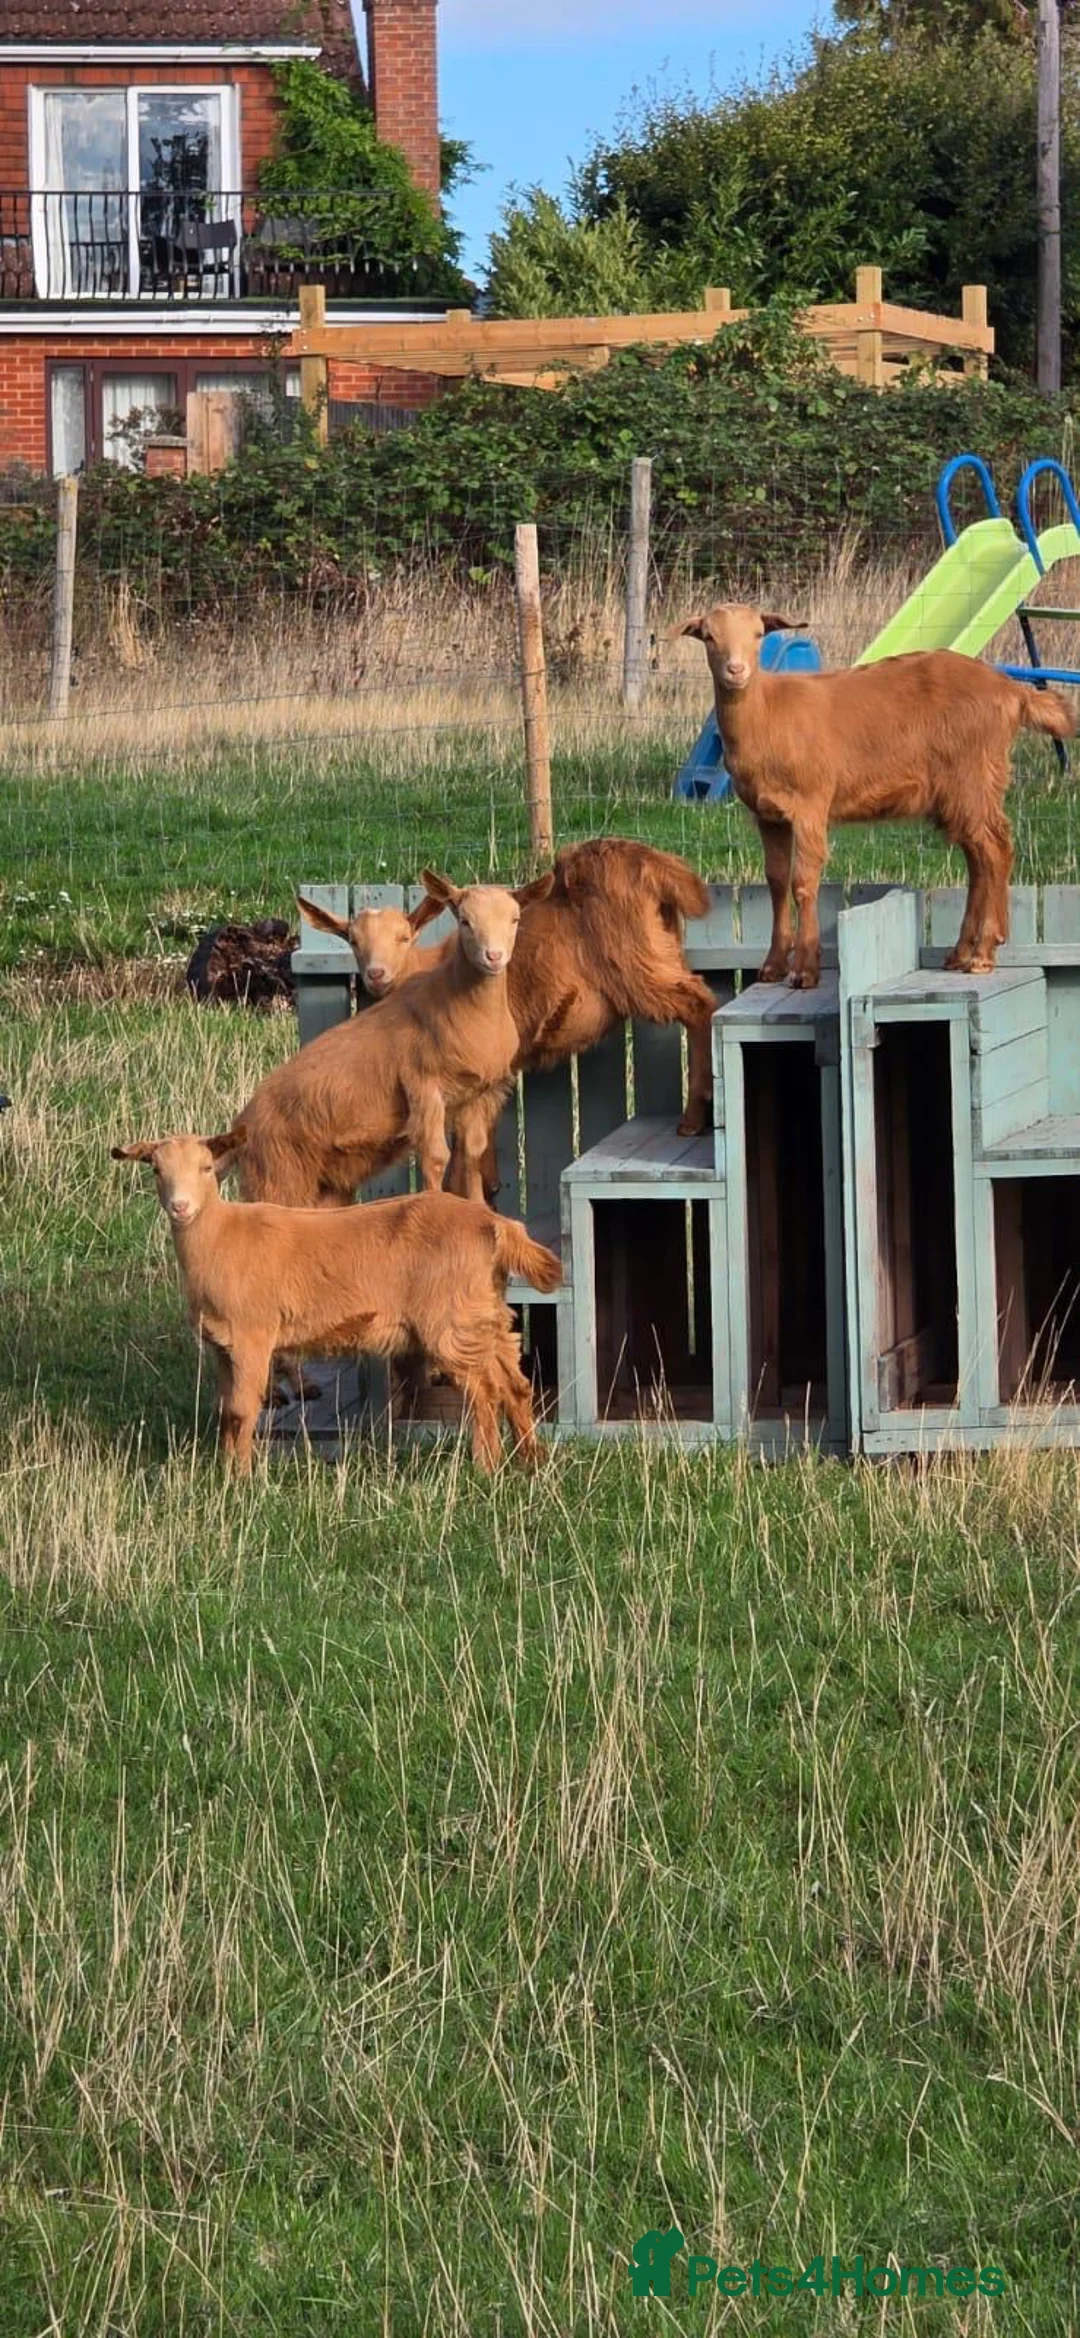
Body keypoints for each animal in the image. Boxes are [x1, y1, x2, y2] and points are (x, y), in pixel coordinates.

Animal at [112, 1131, 561, 1475]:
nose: (180, 1207)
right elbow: (227, 1411)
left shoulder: (253, 1334)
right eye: (156, 1170)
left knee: (484, 1391)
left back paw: (486, 1467)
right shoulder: (221, 1344)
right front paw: (225, 1468)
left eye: (207, 1168)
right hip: (482, 1312)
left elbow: (242, 1409)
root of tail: (494, 1224)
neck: (221, 1236)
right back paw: (532, 1461)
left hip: (449, 1320)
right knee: (515, 1383)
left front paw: (239, 1479)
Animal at [237, 870, 553, 1211]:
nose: (493, 957)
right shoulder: (423, 1085)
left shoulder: (477, 1093)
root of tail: (242, 1121)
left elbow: (472, 1152)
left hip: (325, 1186)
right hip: (277, 1175)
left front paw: (478, 1209)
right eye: (464, 921)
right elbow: (435, 1158)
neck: (464, 1006)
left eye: (515, 919)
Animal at [299, 840, 719, 1185]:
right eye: (352, 940)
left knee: (700, 1003)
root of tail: (651, 861)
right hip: (662, 948)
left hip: (636, 963)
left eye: (404, 937)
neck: (429, 970)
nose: (376, 974)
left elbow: (466, 1148)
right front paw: (489, 1187)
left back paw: (693, 1116)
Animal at [682, 603, 1075, 986]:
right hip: (961, 791)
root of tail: (1011, 691)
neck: (769, 713)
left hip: (974, 776)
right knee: (979, 857)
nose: (736, 670)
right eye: (709, 636)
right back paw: (962, 952)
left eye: (759, 634)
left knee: (995, 850)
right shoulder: (767, 815)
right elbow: (776, 882)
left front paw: (804, 971)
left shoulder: (810, 804)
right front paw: (772, 967)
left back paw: (983, 953)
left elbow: (803, 882)